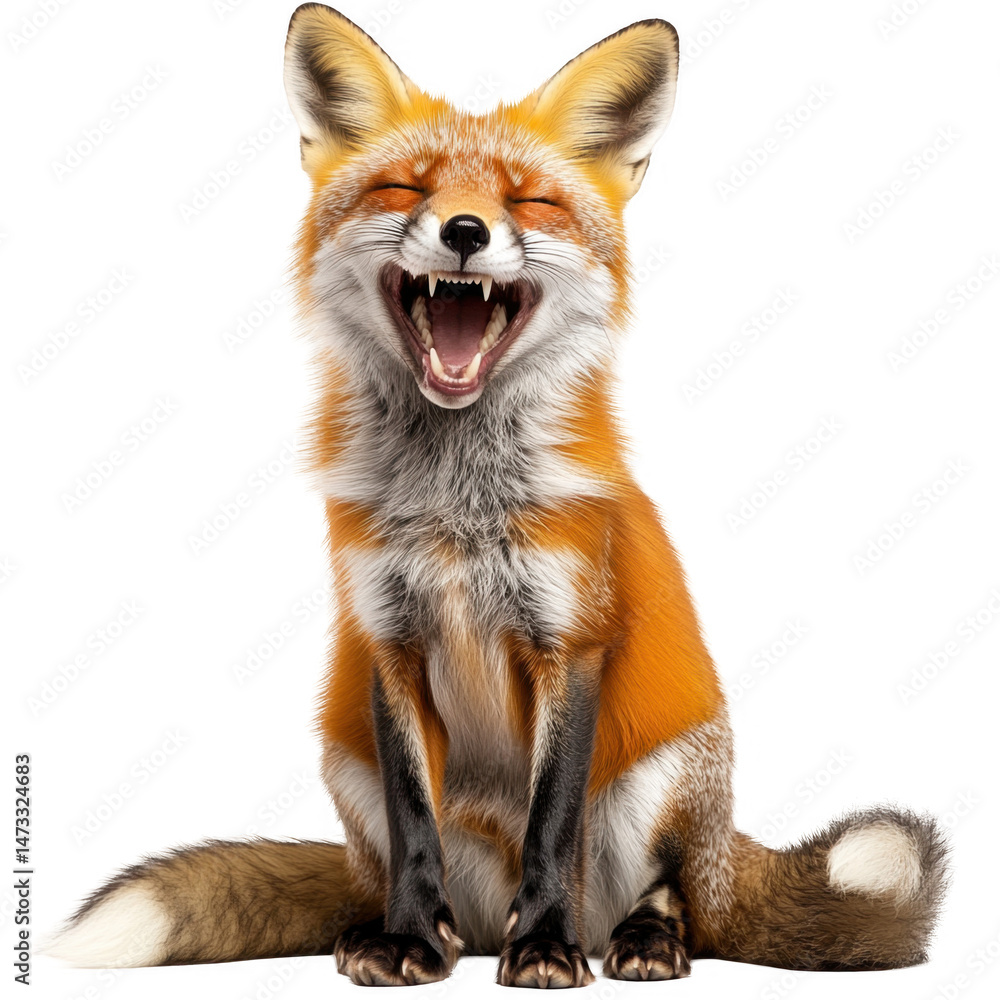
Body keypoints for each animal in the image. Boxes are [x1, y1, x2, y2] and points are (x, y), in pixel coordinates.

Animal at [49, 4, 947, 988]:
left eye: (529, 202)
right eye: (405, 187)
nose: (467, 230)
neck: (457, 509)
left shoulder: (570, 639)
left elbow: (553, 822)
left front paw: (546, 946)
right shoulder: (389, 642)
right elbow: (415, 821)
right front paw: (406, 940)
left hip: (667, 777)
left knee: (675, 894)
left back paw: (633, 940)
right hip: (344, 762)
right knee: (411, 880)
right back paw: (404, 932)